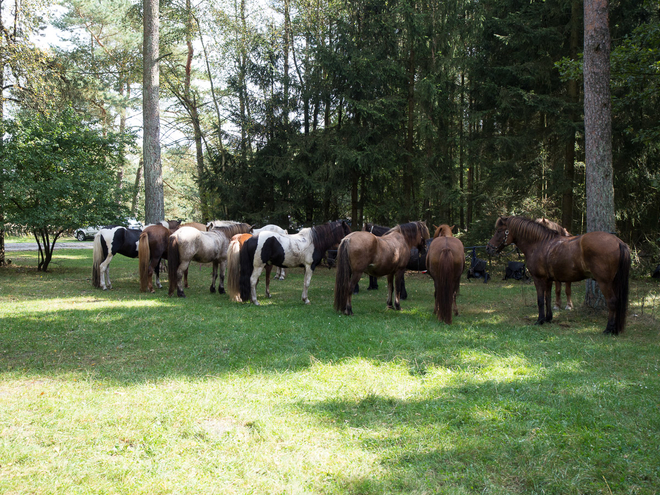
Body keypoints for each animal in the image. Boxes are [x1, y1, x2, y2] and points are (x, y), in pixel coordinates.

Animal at [488, 215, 632, 336]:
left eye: (499, 231)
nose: (488, 248)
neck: (539, 244)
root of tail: (618, 242)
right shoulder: (549, 280)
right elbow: (548, 298)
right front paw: (548, 318)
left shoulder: (538, 279)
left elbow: (540, 300)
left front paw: (539, 320)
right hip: (614, 282)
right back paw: (615, 329)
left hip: (604, 282)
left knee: (612, 302)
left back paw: (608, 329)